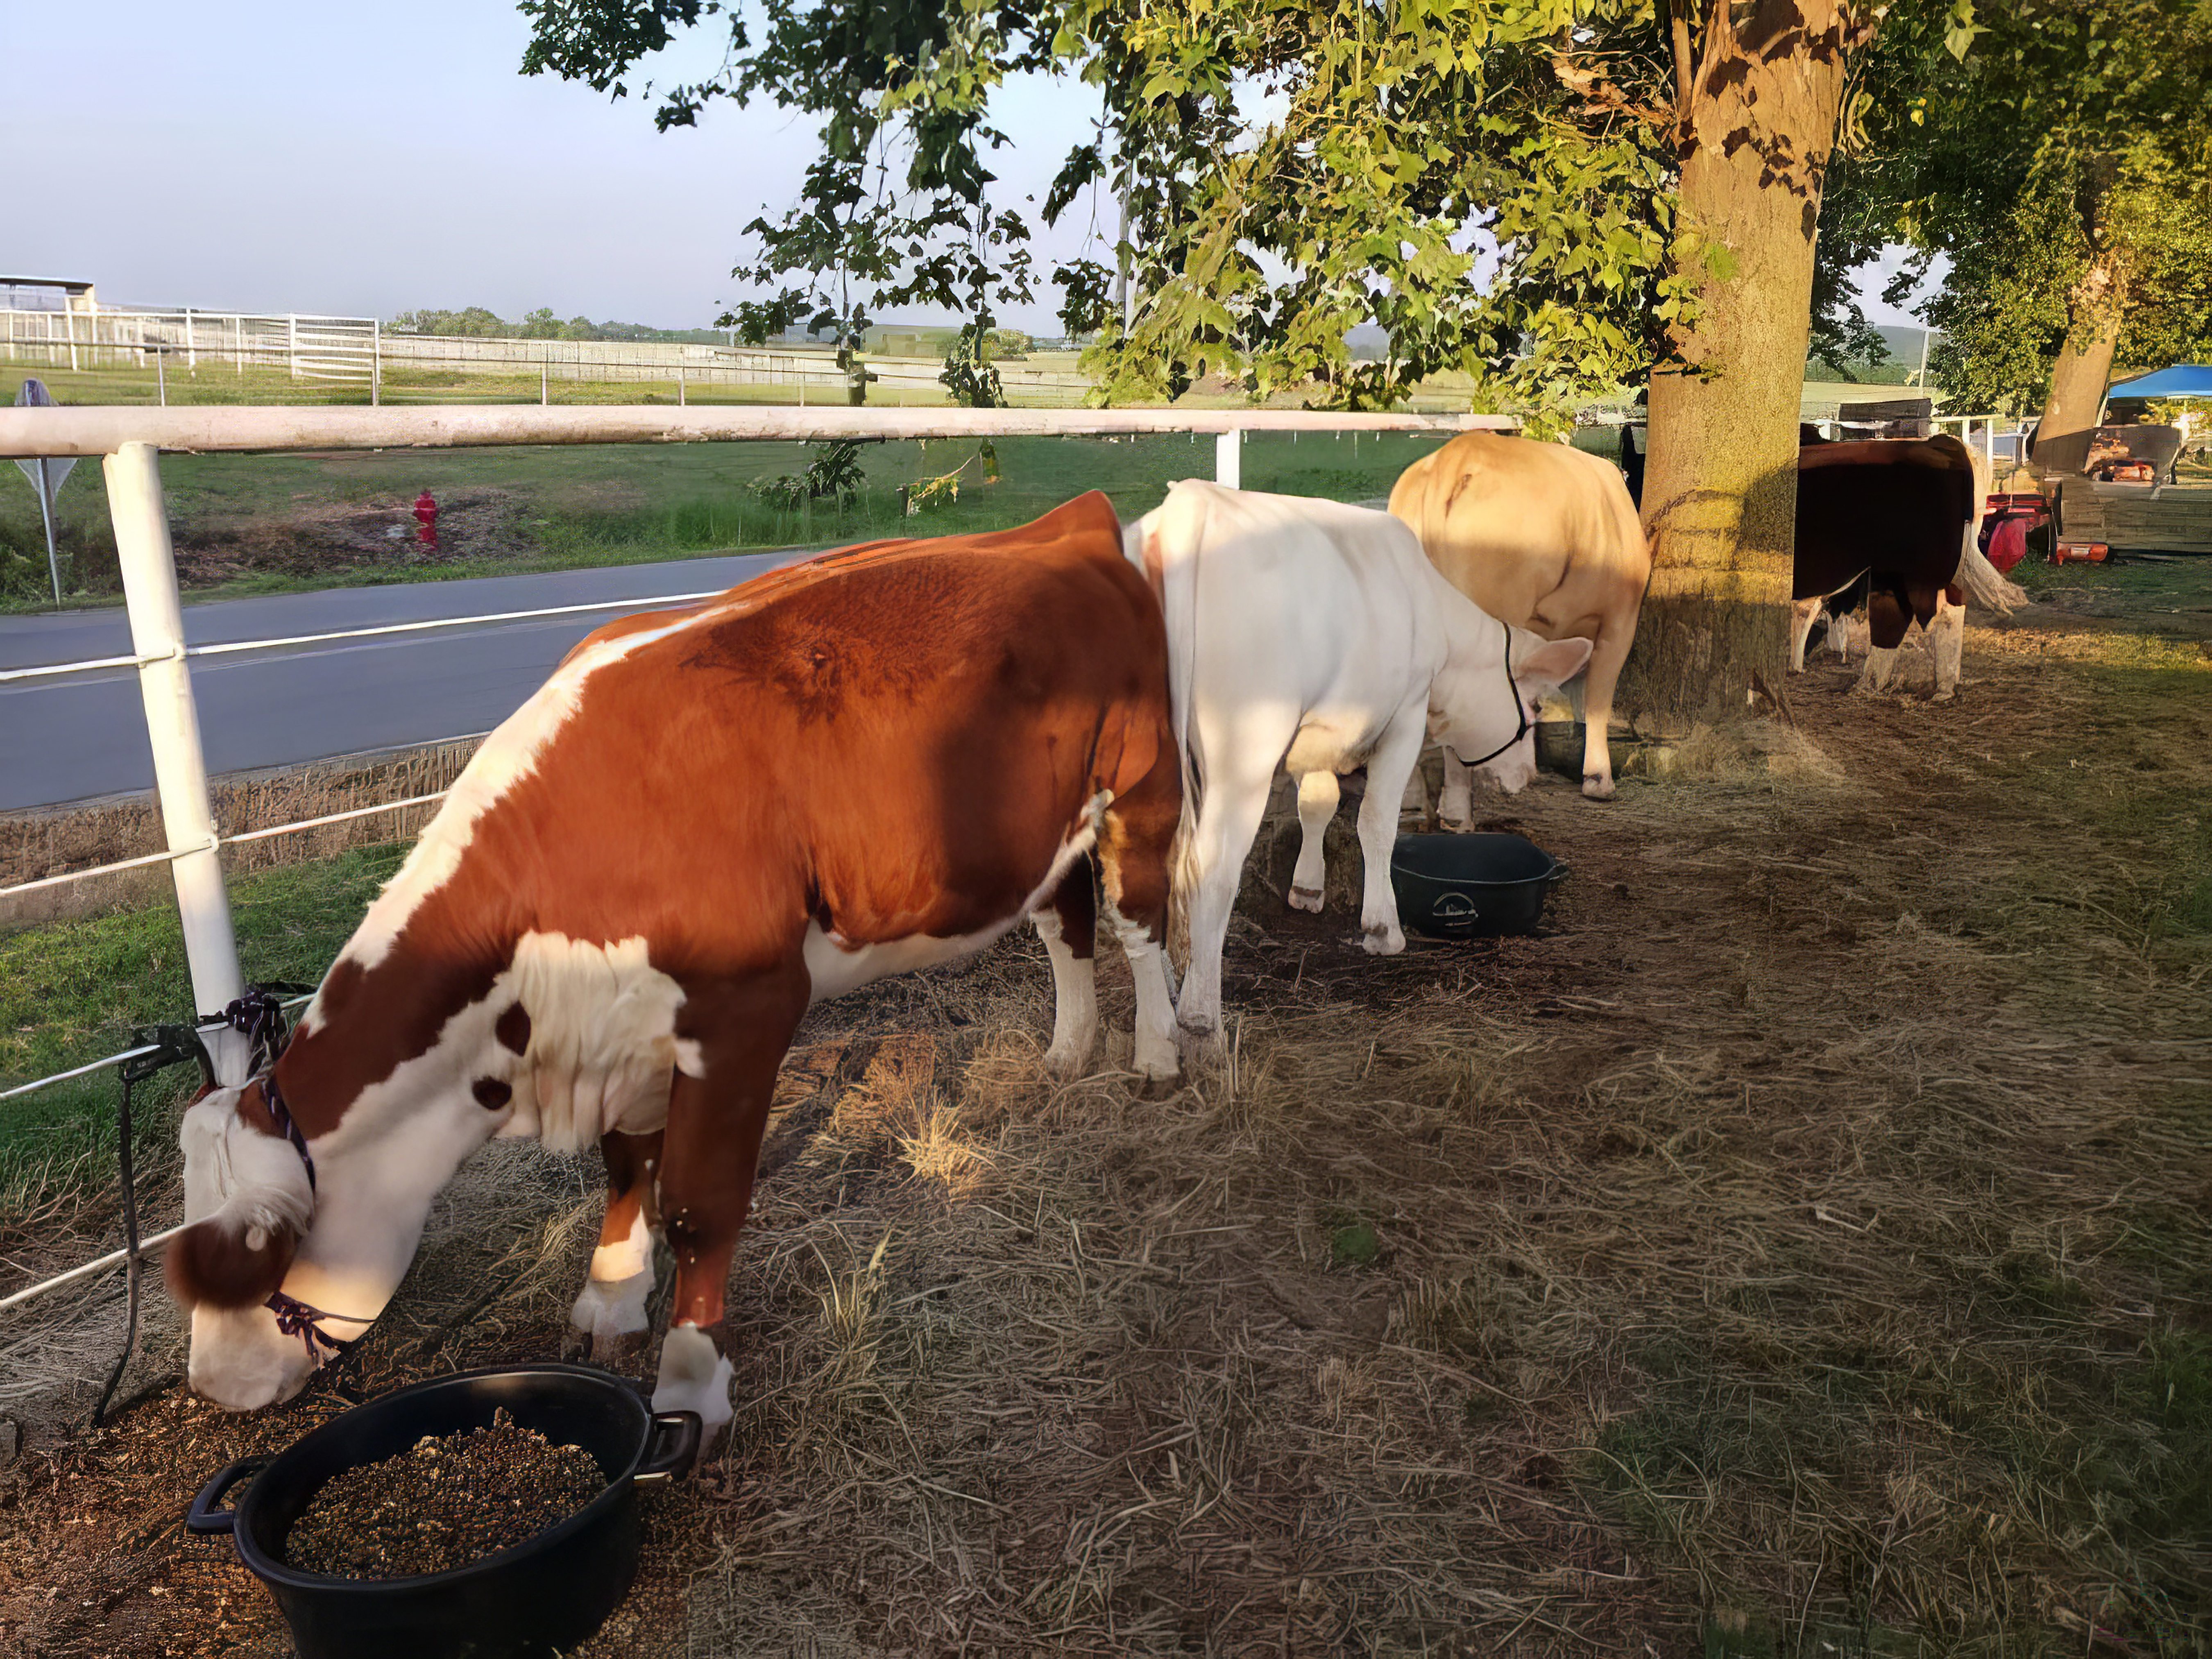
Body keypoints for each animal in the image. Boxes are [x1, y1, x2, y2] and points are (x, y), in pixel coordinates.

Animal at [166, 494, 1182, 1436]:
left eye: (254, 1263)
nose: (213, 1389)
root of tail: (1068, 522)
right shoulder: (623, 1028)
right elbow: (627, 1169)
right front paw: (613, 1298)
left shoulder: (744, 1012)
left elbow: (701, 1202)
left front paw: (692, 1383)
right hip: (1050, 825)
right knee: (1066, 924)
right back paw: (1070, 1050)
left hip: (1142, 788)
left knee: (1141, 926)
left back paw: (1159, 1057)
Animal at [1129, 481, 1592, 1044]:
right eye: (1538, 706)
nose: (1527, 776)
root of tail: (1193, 505)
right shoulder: (1407, 715)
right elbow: (1376, 823)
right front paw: (1382, 929)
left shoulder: (1323, 731)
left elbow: (1316, 805)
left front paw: (1307, 888)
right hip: (1245, 753)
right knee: (1212, 868)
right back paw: (1200, 1014)